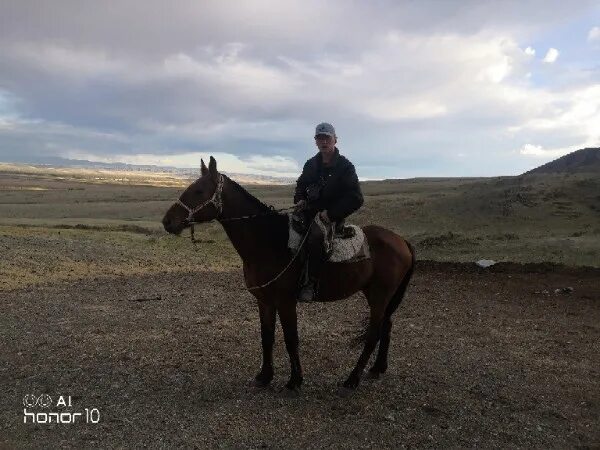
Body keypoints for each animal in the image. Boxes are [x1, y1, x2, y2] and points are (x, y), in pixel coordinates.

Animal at [164, 156, 418, 392]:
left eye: (198, 190)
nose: (167, 222)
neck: (268, 241)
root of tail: (401, 241)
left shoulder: (286, 301)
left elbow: (290, 339)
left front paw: (295, 380)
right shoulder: (264, 301)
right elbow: (267, 337)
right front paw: (265, 376)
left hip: (379, 295)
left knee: (373, 333)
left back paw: (353, 379)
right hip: (380, 295)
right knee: (387, 325)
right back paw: (377, 368)